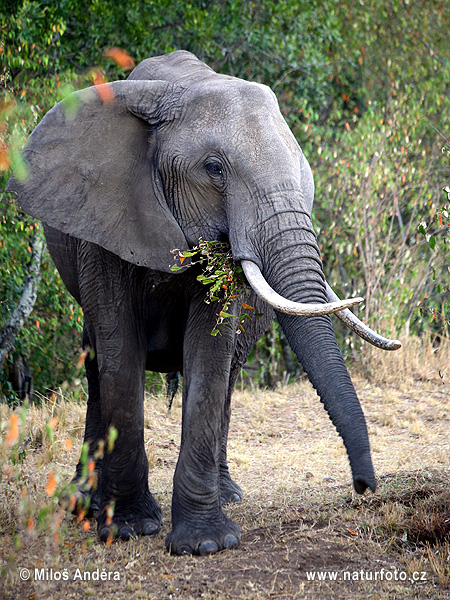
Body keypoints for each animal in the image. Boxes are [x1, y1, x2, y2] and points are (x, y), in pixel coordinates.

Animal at [7, 49, 400, 556]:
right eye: (214, 169)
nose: (364, 487)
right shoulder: (102, 223)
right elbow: (119, 352)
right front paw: (129, 528)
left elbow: (209, 353)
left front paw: (206, 543)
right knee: (96, 360)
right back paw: (85, 505)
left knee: (228, 373)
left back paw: (226, 493)